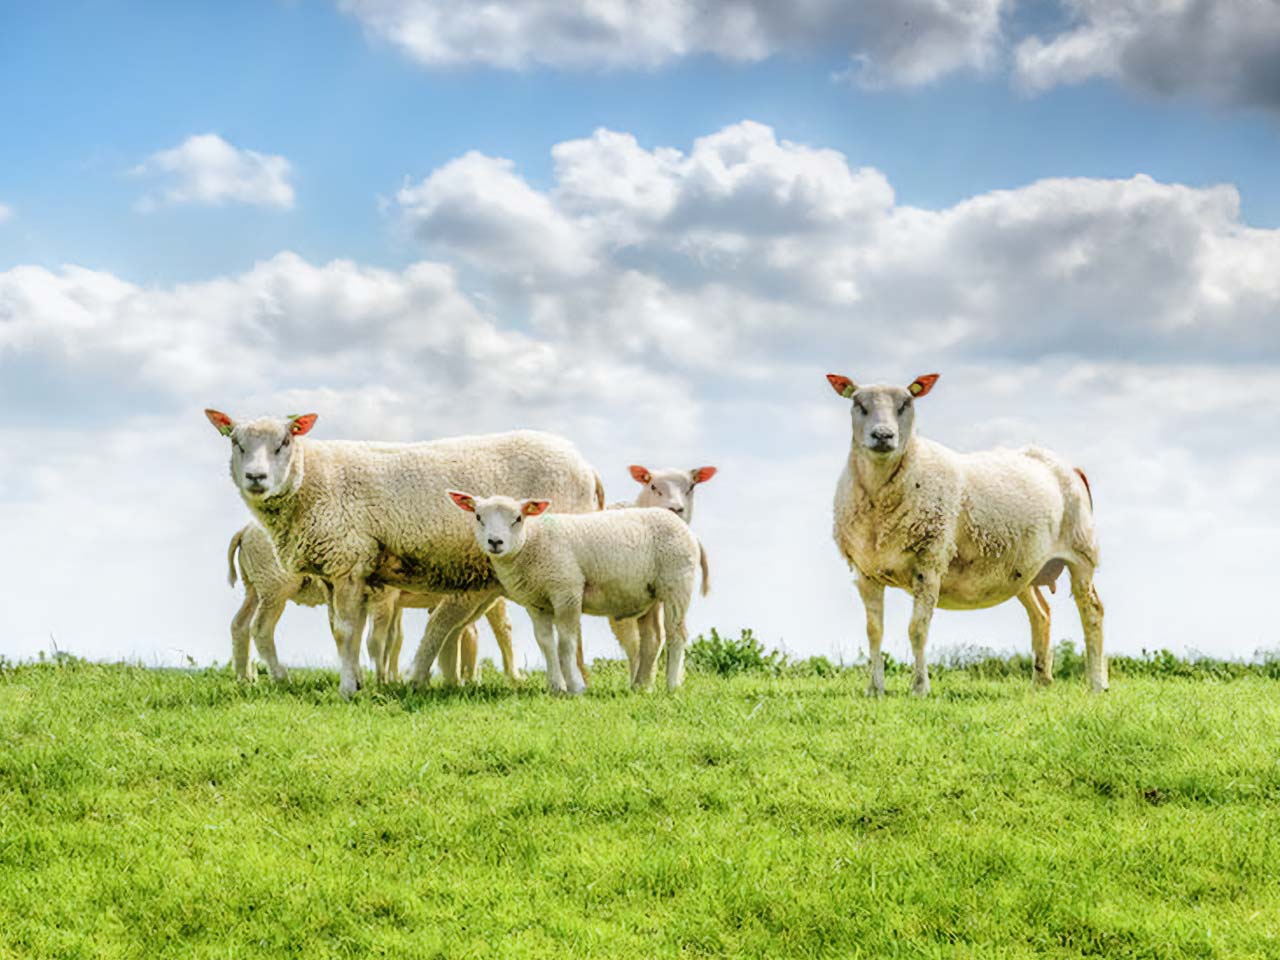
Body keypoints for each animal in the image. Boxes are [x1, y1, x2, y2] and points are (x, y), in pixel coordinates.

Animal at [227, 522, 521, 684]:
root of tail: (244, 531)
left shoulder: (393, 601)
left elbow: (394, 639)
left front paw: (391, 678)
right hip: (275, 585)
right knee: (260, 628)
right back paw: (280, 676)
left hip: (255, 586)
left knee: (239, 625)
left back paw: (245, 677)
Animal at [447, 491, 709, 693]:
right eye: (478, 517)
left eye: (518, 518)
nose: (495, 542)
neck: (533, 542)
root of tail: (689, 531)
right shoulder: (536, 602)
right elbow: (545, 643)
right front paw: (555, 687)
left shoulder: (567, 590)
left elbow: (566, 643)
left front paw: (576, 687)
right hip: (649, 594)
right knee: (653, 638)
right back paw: (640, 686)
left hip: (677, 582)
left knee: (677, 634)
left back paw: (672, 686)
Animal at [607, 464, 717, 688]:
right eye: (653, 486)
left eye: (691, 486)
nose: (675, 509)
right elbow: (640, 641)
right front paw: (642, 682)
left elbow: (648, 640)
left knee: (671, 633)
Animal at [827, 372, 1106, 696]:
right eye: (858, 404)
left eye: (906, 403)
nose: (883, 436)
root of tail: (1068, 466)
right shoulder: (866, 571)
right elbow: (874, 632)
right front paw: (875, 689)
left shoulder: (930, 562)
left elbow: (917, 629)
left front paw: (920, 688)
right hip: (1023, 568)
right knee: (1041, 614)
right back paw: (1041, 682)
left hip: (1082, 551)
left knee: (1092, 612)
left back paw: (1097, 684)